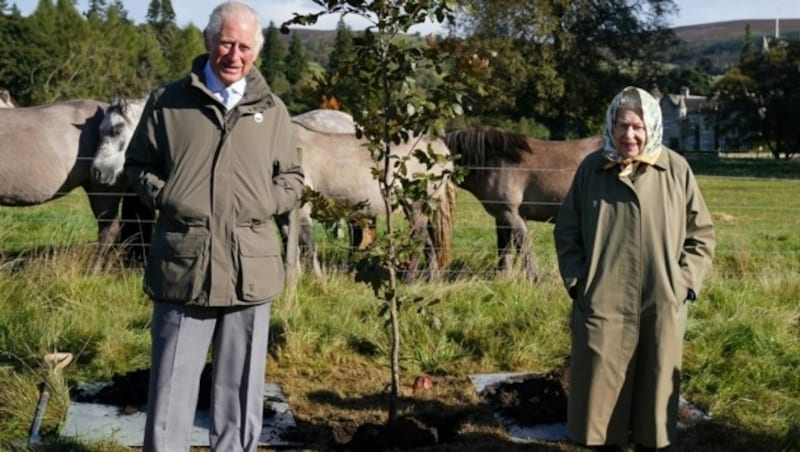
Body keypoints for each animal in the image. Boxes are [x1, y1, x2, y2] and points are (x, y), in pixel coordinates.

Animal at [444, 128, 600, 282]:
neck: (495, 162)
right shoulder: (503, 217)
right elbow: (504, 247)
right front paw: (503, 277)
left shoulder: (510, 214)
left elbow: (523, 245)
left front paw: (533, 278)